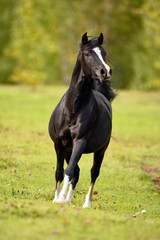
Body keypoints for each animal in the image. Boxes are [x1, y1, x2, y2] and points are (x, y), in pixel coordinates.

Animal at [48, 32, 115, 208]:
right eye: (87, 54)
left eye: (104, 53)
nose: (105, 72)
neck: (73, 108)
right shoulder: (59, 143)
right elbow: (60, 171)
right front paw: (57, 198)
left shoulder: (80, 141)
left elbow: (69, 171)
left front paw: (61, 198)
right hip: (68, 150)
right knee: (76, 172)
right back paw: (68, 200)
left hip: (100, 151)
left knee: (93, 172)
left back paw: (86, 203)